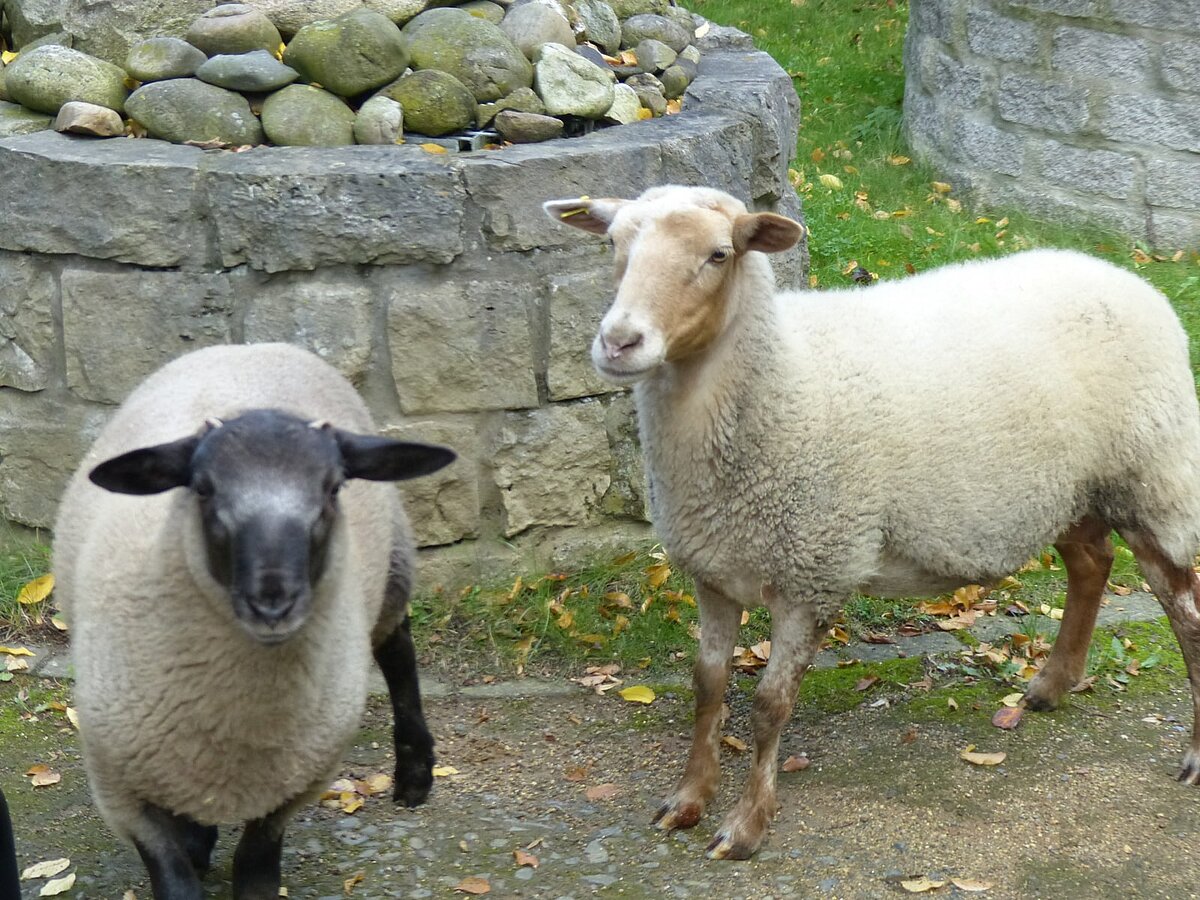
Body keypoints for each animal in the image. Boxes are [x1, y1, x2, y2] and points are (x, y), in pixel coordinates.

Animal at [51, 340, 456, 897]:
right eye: (202, 489)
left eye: (334, 488)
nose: (273, 603)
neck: (238, 717)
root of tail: (248, 345)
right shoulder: (120, 789)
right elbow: (174, 876)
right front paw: (192, 850)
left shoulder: (296, 782)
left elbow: (256, 864)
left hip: (393, 565)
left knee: (397, 650)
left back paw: (415, 772)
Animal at [549, 187, 1200, 864]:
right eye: (612, 244)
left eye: (719, 254)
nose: (619, 342)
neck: (779, 375)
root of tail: (1126, 275)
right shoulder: (713, 570)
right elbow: (707, 686)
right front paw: (687, 800)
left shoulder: (811, 572)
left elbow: (769, 706)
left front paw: (746, 825)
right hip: (1070, 489)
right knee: (1092, 565)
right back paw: (1051, 685)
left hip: (1153, 478)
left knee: (1184, 611)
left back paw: (1191, 756)